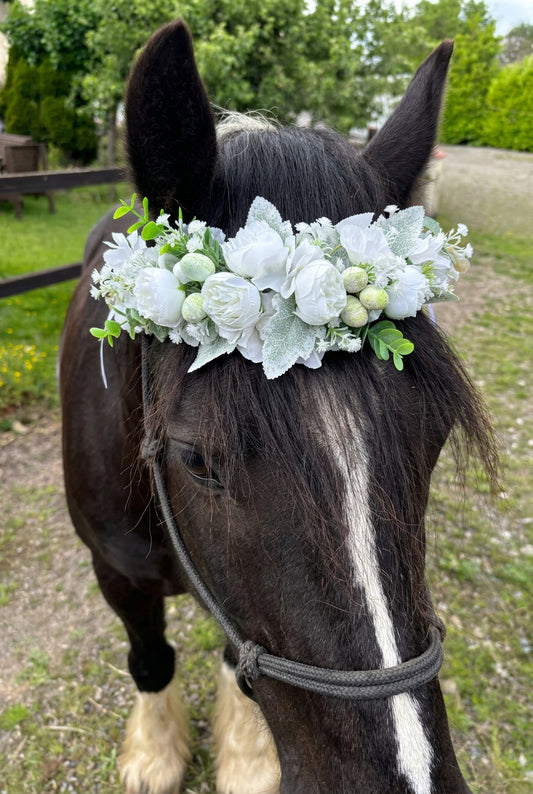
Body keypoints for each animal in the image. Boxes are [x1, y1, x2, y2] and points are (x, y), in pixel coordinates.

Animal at [60, 20, 497, 794]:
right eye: (195, 459)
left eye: (438, 435)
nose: (410, 779)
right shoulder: (113, 570)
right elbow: (150, 655)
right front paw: (153, 751)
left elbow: (235, 656)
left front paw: (244, 758)